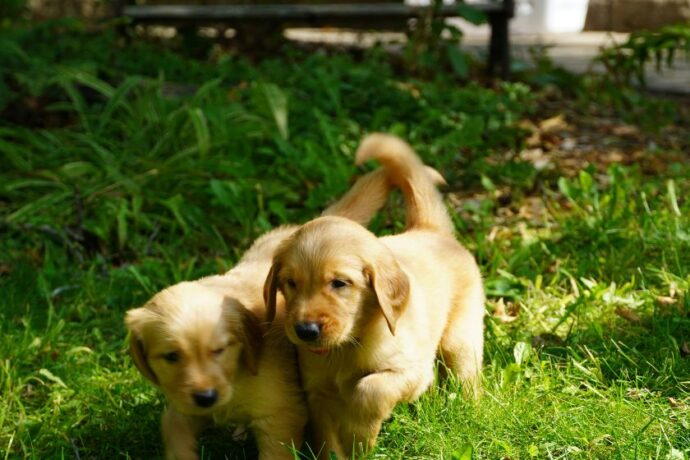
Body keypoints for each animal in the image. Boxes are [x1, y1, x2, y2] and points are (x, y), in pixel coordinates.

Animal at [264, 135, 484, 458]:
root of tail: (431, 231)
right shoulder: (317, 395)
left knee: (467, 376)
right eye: (290, 283)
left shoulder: (413, 372)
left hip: (460, 337)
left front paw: (359, 435)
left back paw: (471, 412)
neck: (347, 347)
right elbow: (327, 440)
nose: (306, 330)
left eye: (340, 283)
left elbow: (369, 389)